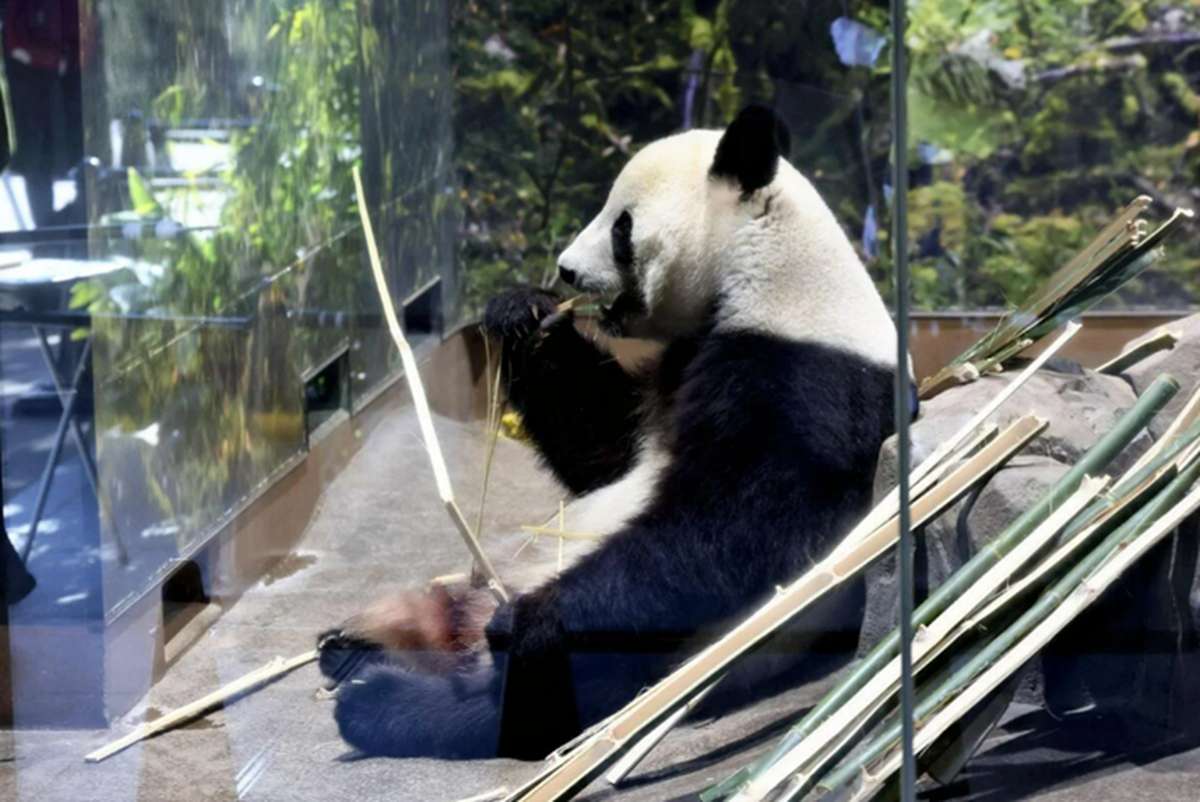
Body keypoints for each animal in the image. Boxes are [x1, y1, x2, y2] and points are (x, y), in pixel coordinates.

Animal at [318, 105, 908, 760]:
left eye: (622, 226)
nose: (565, 269)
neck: (768, 269)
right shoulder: (679, 361)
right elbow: (605, 450)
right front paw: (526, 316)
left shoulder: (806, 384)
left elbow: (731, 531)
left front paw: (530, 624)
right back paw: (360, 648)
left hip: (649, 665)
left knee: (531, 702)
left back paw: (386, 699)